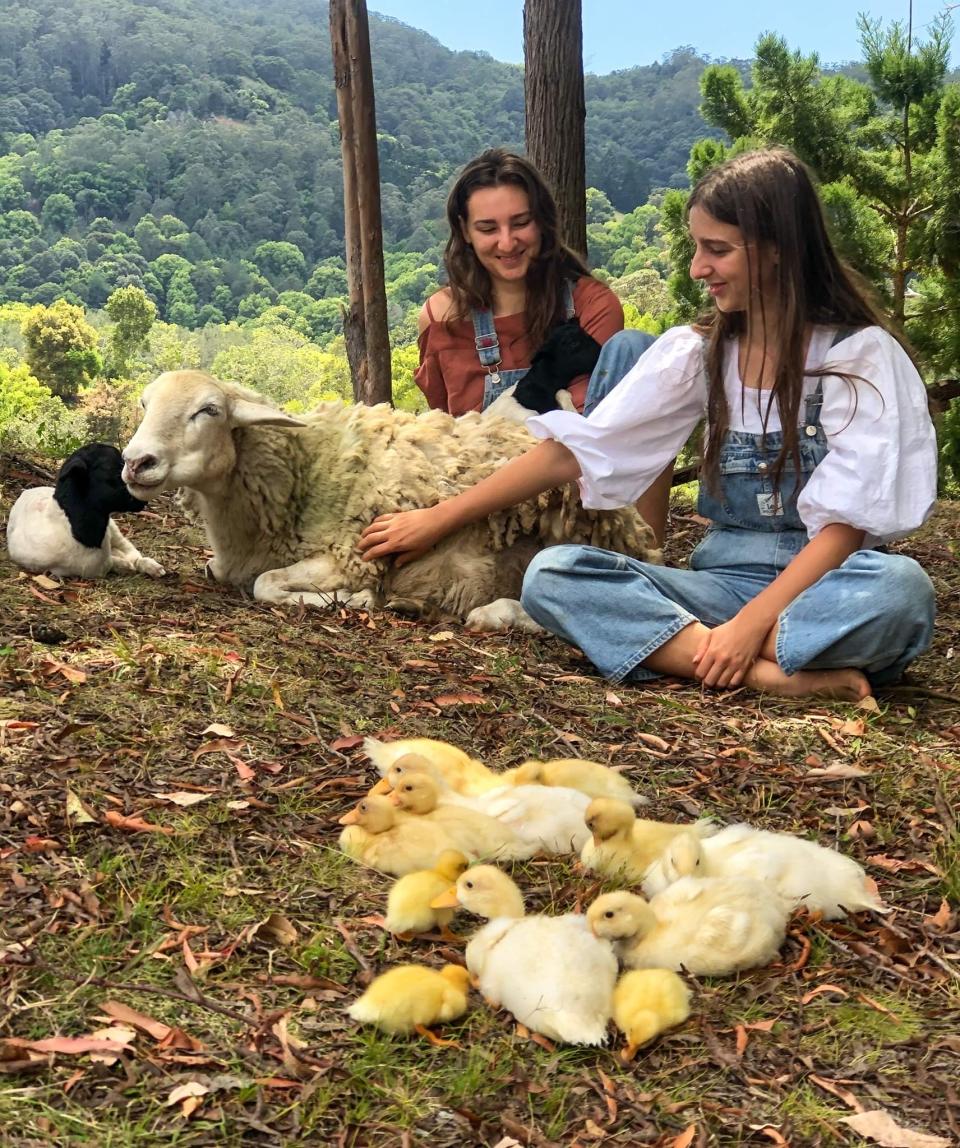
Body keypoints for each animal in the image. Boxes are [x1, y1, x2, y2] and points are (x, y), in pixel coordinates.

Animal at [5, 440, 165, 583]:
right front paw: (124, 566)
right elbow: (114, 563)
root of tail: (29, 490)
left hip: (114, 529)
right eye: (108, 467)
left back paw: (154, 568)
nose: (143, 500)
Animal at [120, 371, 656, 633]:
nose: (135, 461)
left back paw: (490, 613)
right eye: (145, 404)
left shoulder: (351, 555)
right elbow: (224, 572)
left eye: (208, 410)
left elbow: (266, 585)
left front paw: (353, 601)